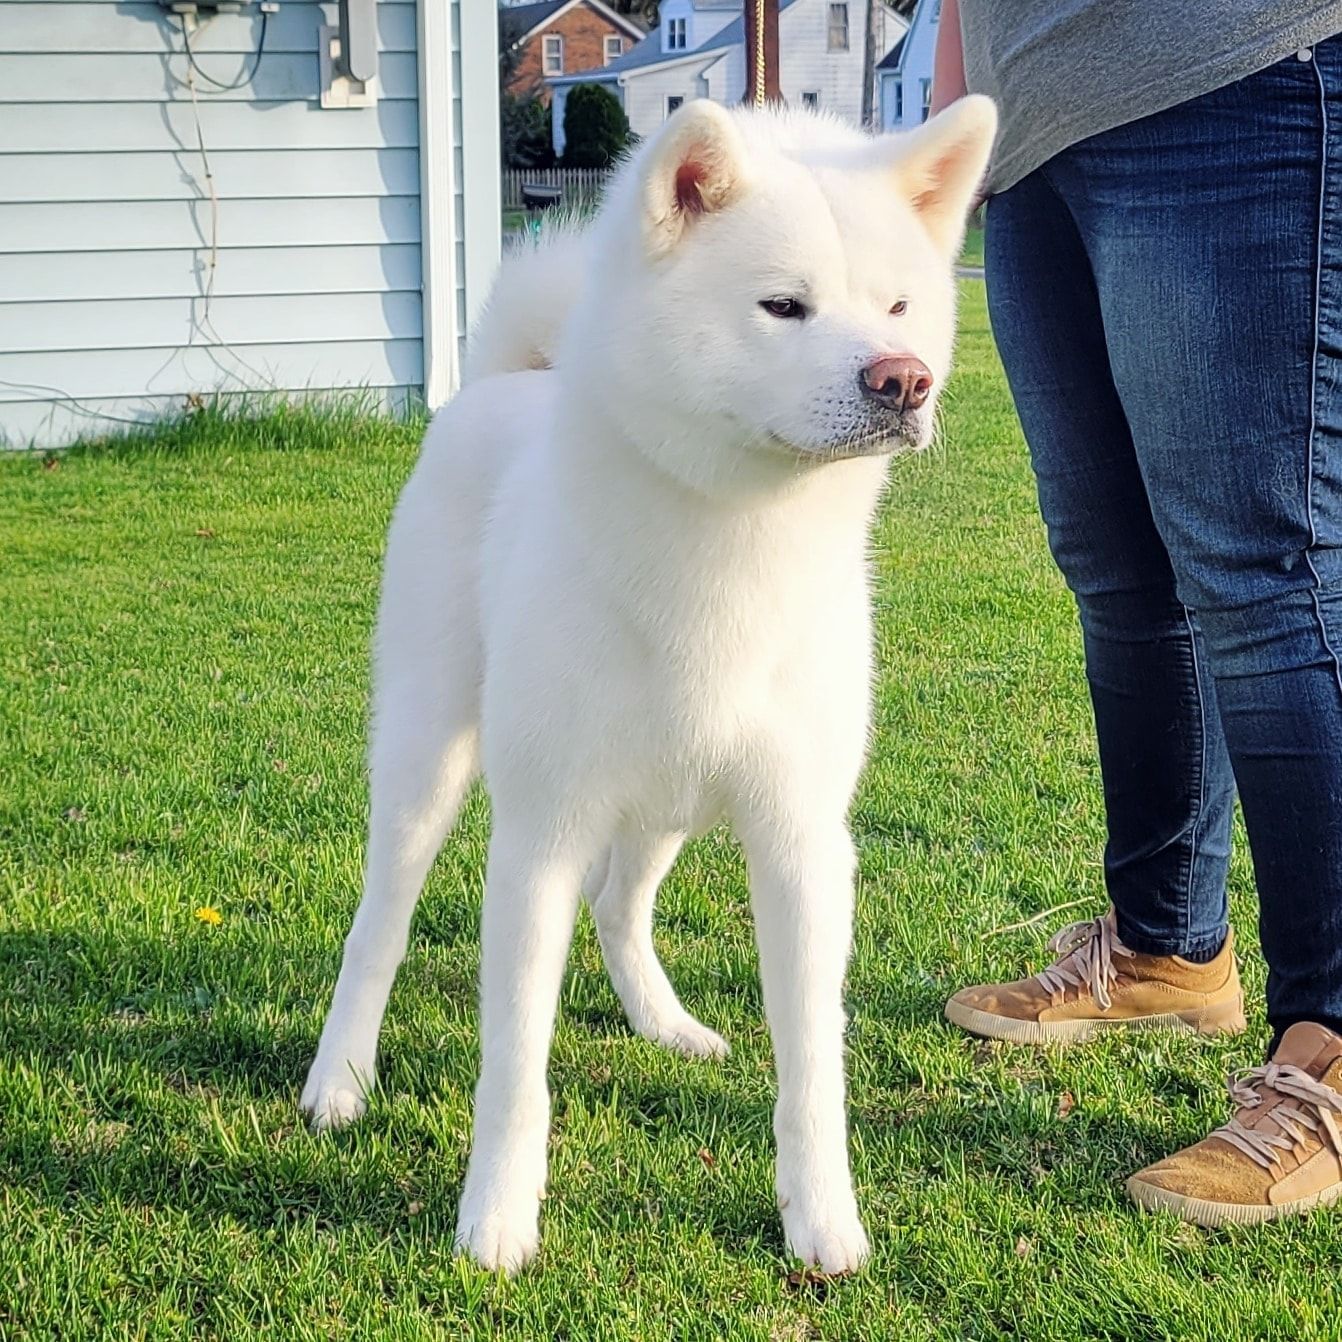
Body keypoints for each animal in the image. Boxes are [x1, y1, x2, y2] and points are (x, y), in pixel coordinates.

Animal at [304, 99, 998, 1272]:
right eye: (783, 305)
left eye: (898, 304)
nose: (905, 378)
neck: (734, 548)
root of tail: (511, 380)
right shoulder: (536, 840)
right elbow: (514, 1069)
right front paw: (496, 1218)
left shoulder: (802, 843)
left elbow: (813, 1066)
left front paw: (823, 1218)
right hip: (428, 762)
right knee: (380, 925)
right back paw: (339, 1078)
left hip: (667, 798)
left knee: (620, 906)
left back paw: (662, 1022)